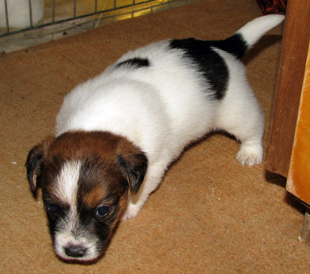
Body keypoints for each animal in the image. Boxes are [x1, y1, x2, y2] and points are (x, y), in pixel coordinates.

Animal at [26, 13, 284, 262]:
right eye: (51, 206)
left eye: (103, 210)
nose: (73, 251)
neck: (96, 122)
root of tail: (218, 47)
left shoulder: (153, 165)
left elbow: (139, 191)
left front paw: (130, 207)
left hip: (236, 110)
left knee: (254, 125)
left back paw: (251, 152)